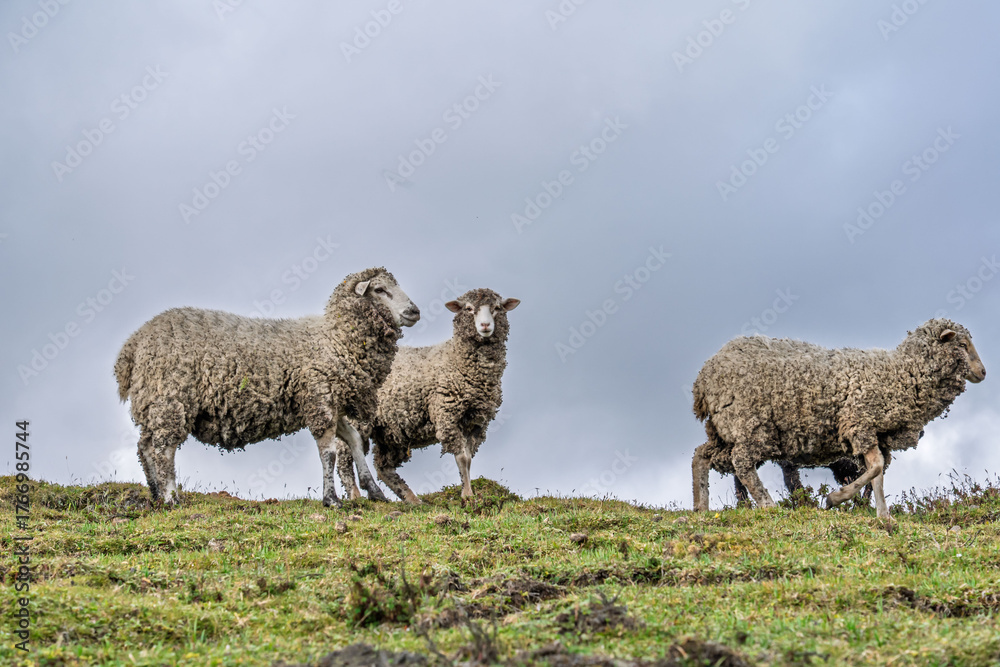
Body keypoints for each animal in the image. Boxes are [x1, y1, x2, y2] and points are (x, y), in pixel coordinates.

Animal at [113, 267, 420, 508]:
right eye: (379, 289)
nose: (414, 311)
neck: (334, 339)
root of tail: (133, 344)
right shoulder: (319, 397)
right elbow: (329, 452)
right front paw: (331, 499)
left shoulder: (331, 402)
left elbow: (354, 440)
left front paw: (375, 491)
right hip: (171, 397)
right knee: (163, 448)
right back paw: (170, 497)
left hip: (153, 402)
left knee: (145, 447)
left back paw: (155, 493)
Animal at [335, 288, 520, 503]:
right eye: (468, 308)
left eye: (497, 308)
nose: (485, 325)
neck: (458, 360)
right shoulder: (447, 414)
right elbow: (462, 458)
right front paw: (467, 495)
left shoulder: (477, 423)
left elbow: (469, 459)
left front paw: (469, 493)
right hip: (357, 418)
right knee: (345, 455)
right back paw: (355, 496)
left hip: (390, 430)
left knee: (383, 467)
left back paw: (412, 500)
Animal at [691, 318, 986, 519]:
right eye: (962, 345)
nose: (983, 372)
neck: (901, 372)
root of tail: (705, 376)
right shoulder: (859, 423)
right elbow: (876, 468)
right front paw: (836, 500)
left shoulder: (876, 435)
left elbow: (877, 472)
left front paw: (881, 514)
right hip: (750, 425)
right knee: (742, 464)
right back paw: (767, 504)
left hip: (723, 429)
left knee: (701, 455)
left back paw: (701, 507)